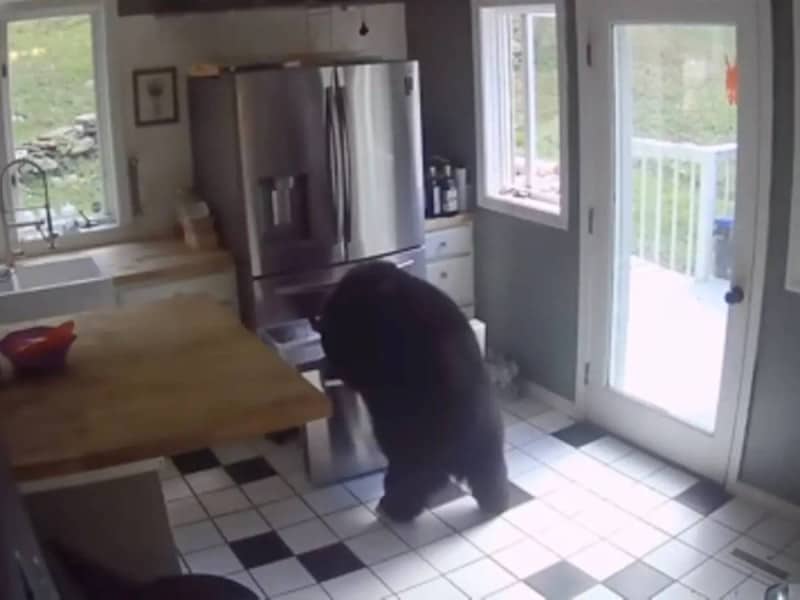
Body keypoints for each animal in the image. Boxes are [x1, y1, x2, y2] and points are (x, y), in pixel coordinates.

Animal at [317, 260, 508, 522]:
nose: (322, 333)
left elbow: (357, 363)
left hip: (415, 431)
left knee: (417, 474)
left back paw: (395, 505)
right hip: (486, 431)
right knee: (488, 467)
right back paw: (495, 500)